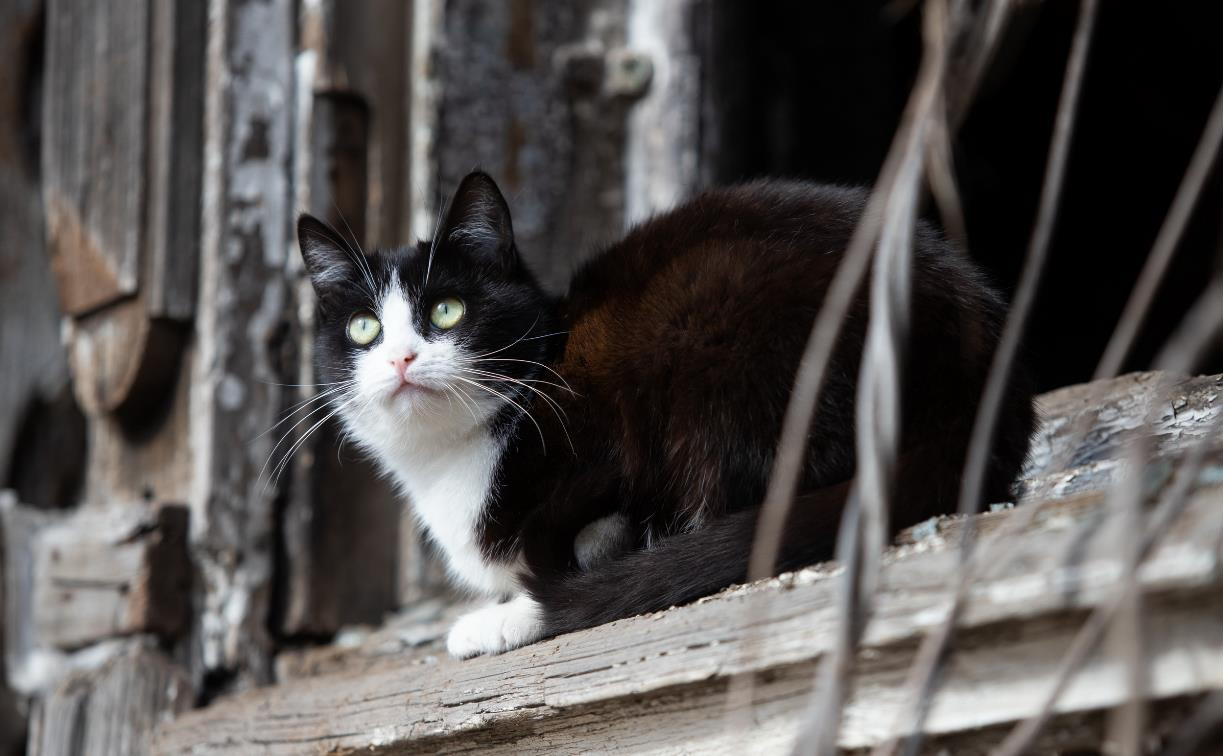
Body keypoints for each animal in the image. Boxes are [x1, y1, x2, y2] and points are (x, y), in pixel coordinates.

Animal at [295, 171, 1032, 655]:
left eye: (447, 310)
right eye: (364, 329)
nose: (401, 359)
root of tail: (982, 374)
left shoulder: (602, 446)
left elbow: (588, 552)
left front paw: (502, 615)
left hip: (716, 328)